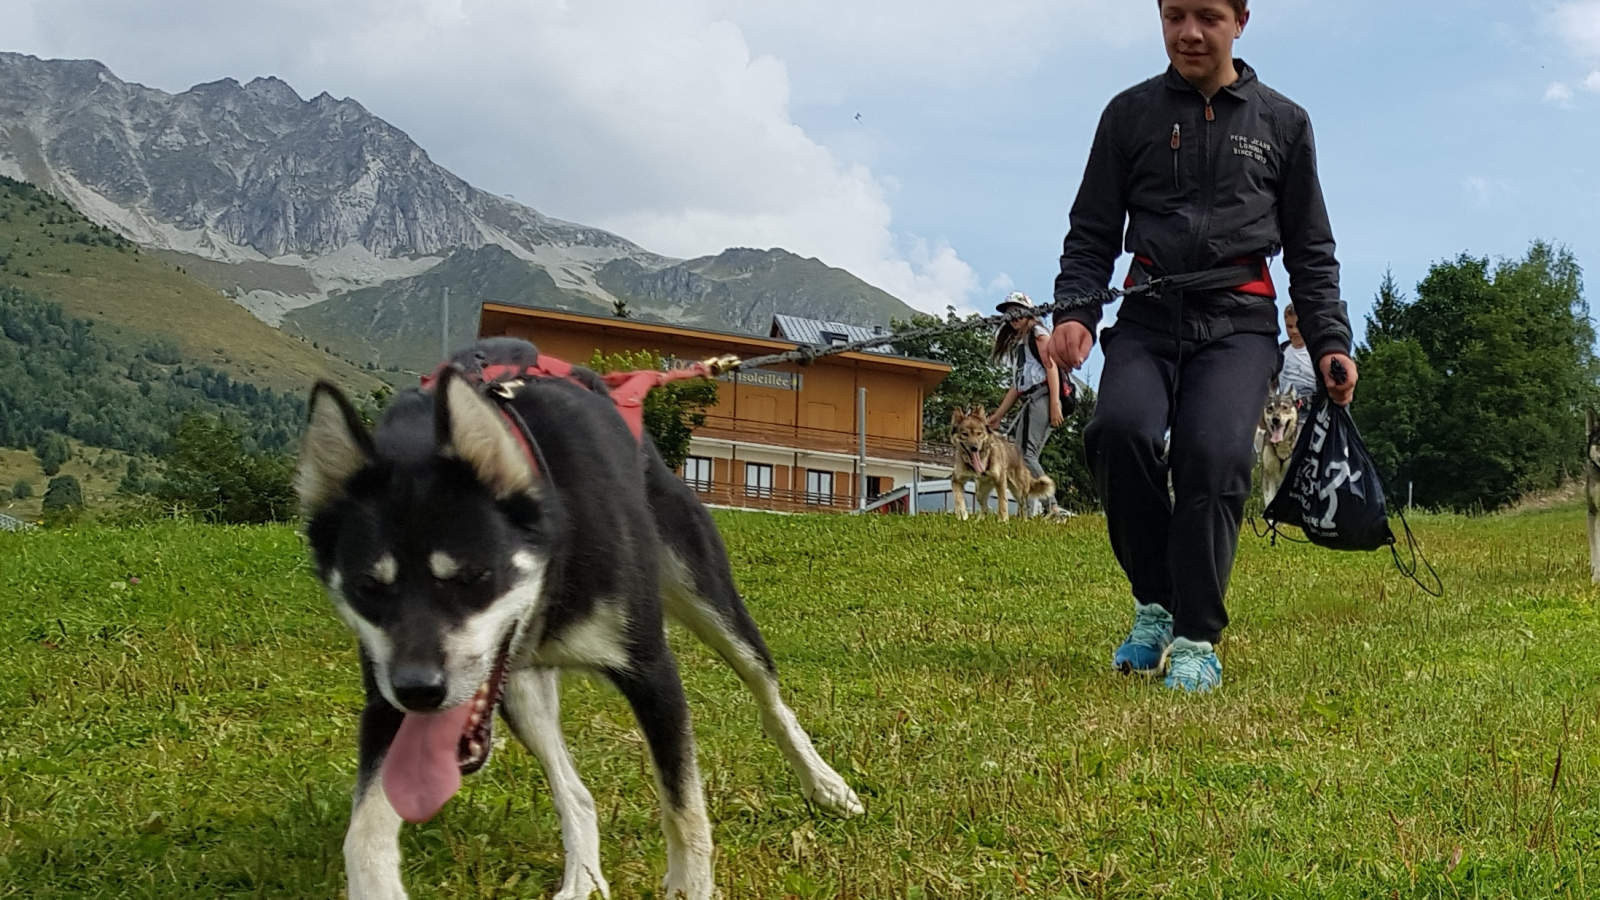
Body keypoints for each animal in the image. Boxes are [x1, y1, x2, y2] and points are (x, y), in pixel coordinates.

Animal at [292, 337, 857, 896]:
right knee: (577, 795)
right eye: (367, 587)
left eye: (473, 576)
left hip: (709, 597)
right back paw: (582, 877)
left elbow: (684, 810)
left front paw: (689, 882)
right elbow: (364, 833)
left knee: (769, 697)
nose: (419, 691)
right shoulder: (384, 693)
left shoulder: (652, 671)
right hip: (519, 688)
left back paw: (826, 784)